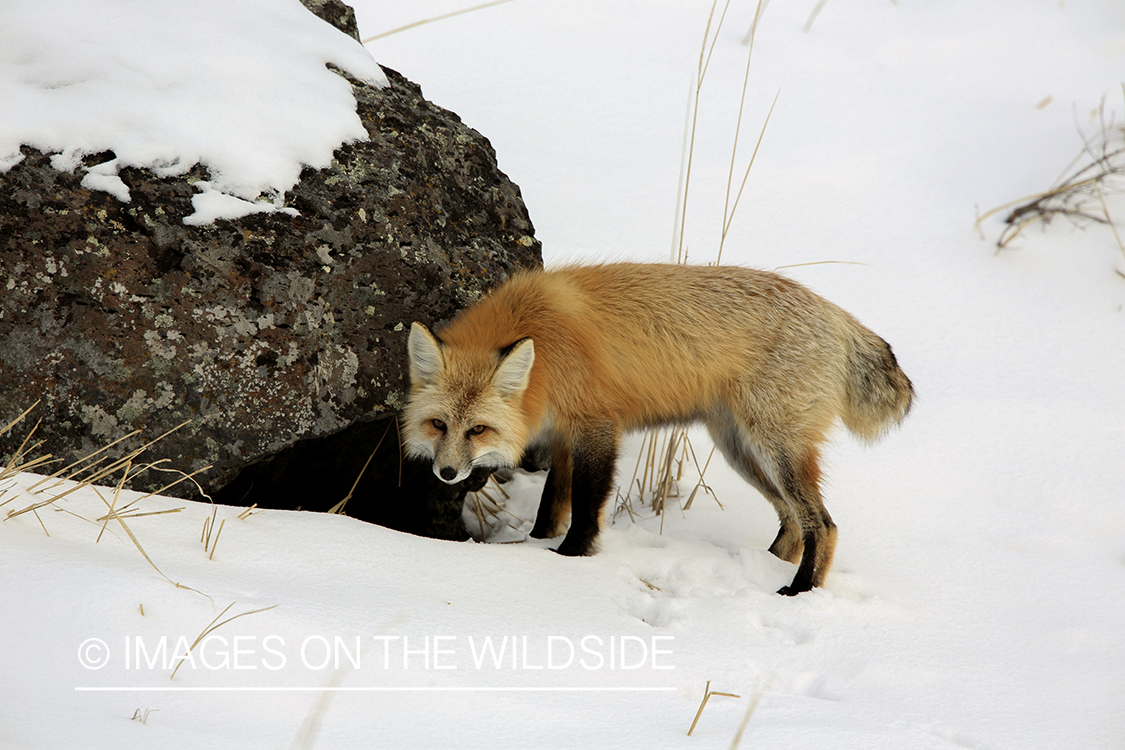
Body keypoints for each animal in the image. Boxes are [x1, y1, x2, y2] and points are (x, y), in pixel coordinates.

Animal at [405, 264, 913, 598]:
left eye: (478, 429)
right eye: (439, 424)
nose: (446, 474)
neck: (542, 344)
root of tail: (834, 313)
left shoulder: (595, 425)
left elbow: (585, 506)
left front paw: (570, 559)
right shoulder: (565, 433)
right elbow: (552, 504)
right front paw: (538, 544)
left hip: (774, 448)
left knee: (822, 525)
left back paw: (801, 590)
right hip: (740, 449)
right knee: (791, 521)